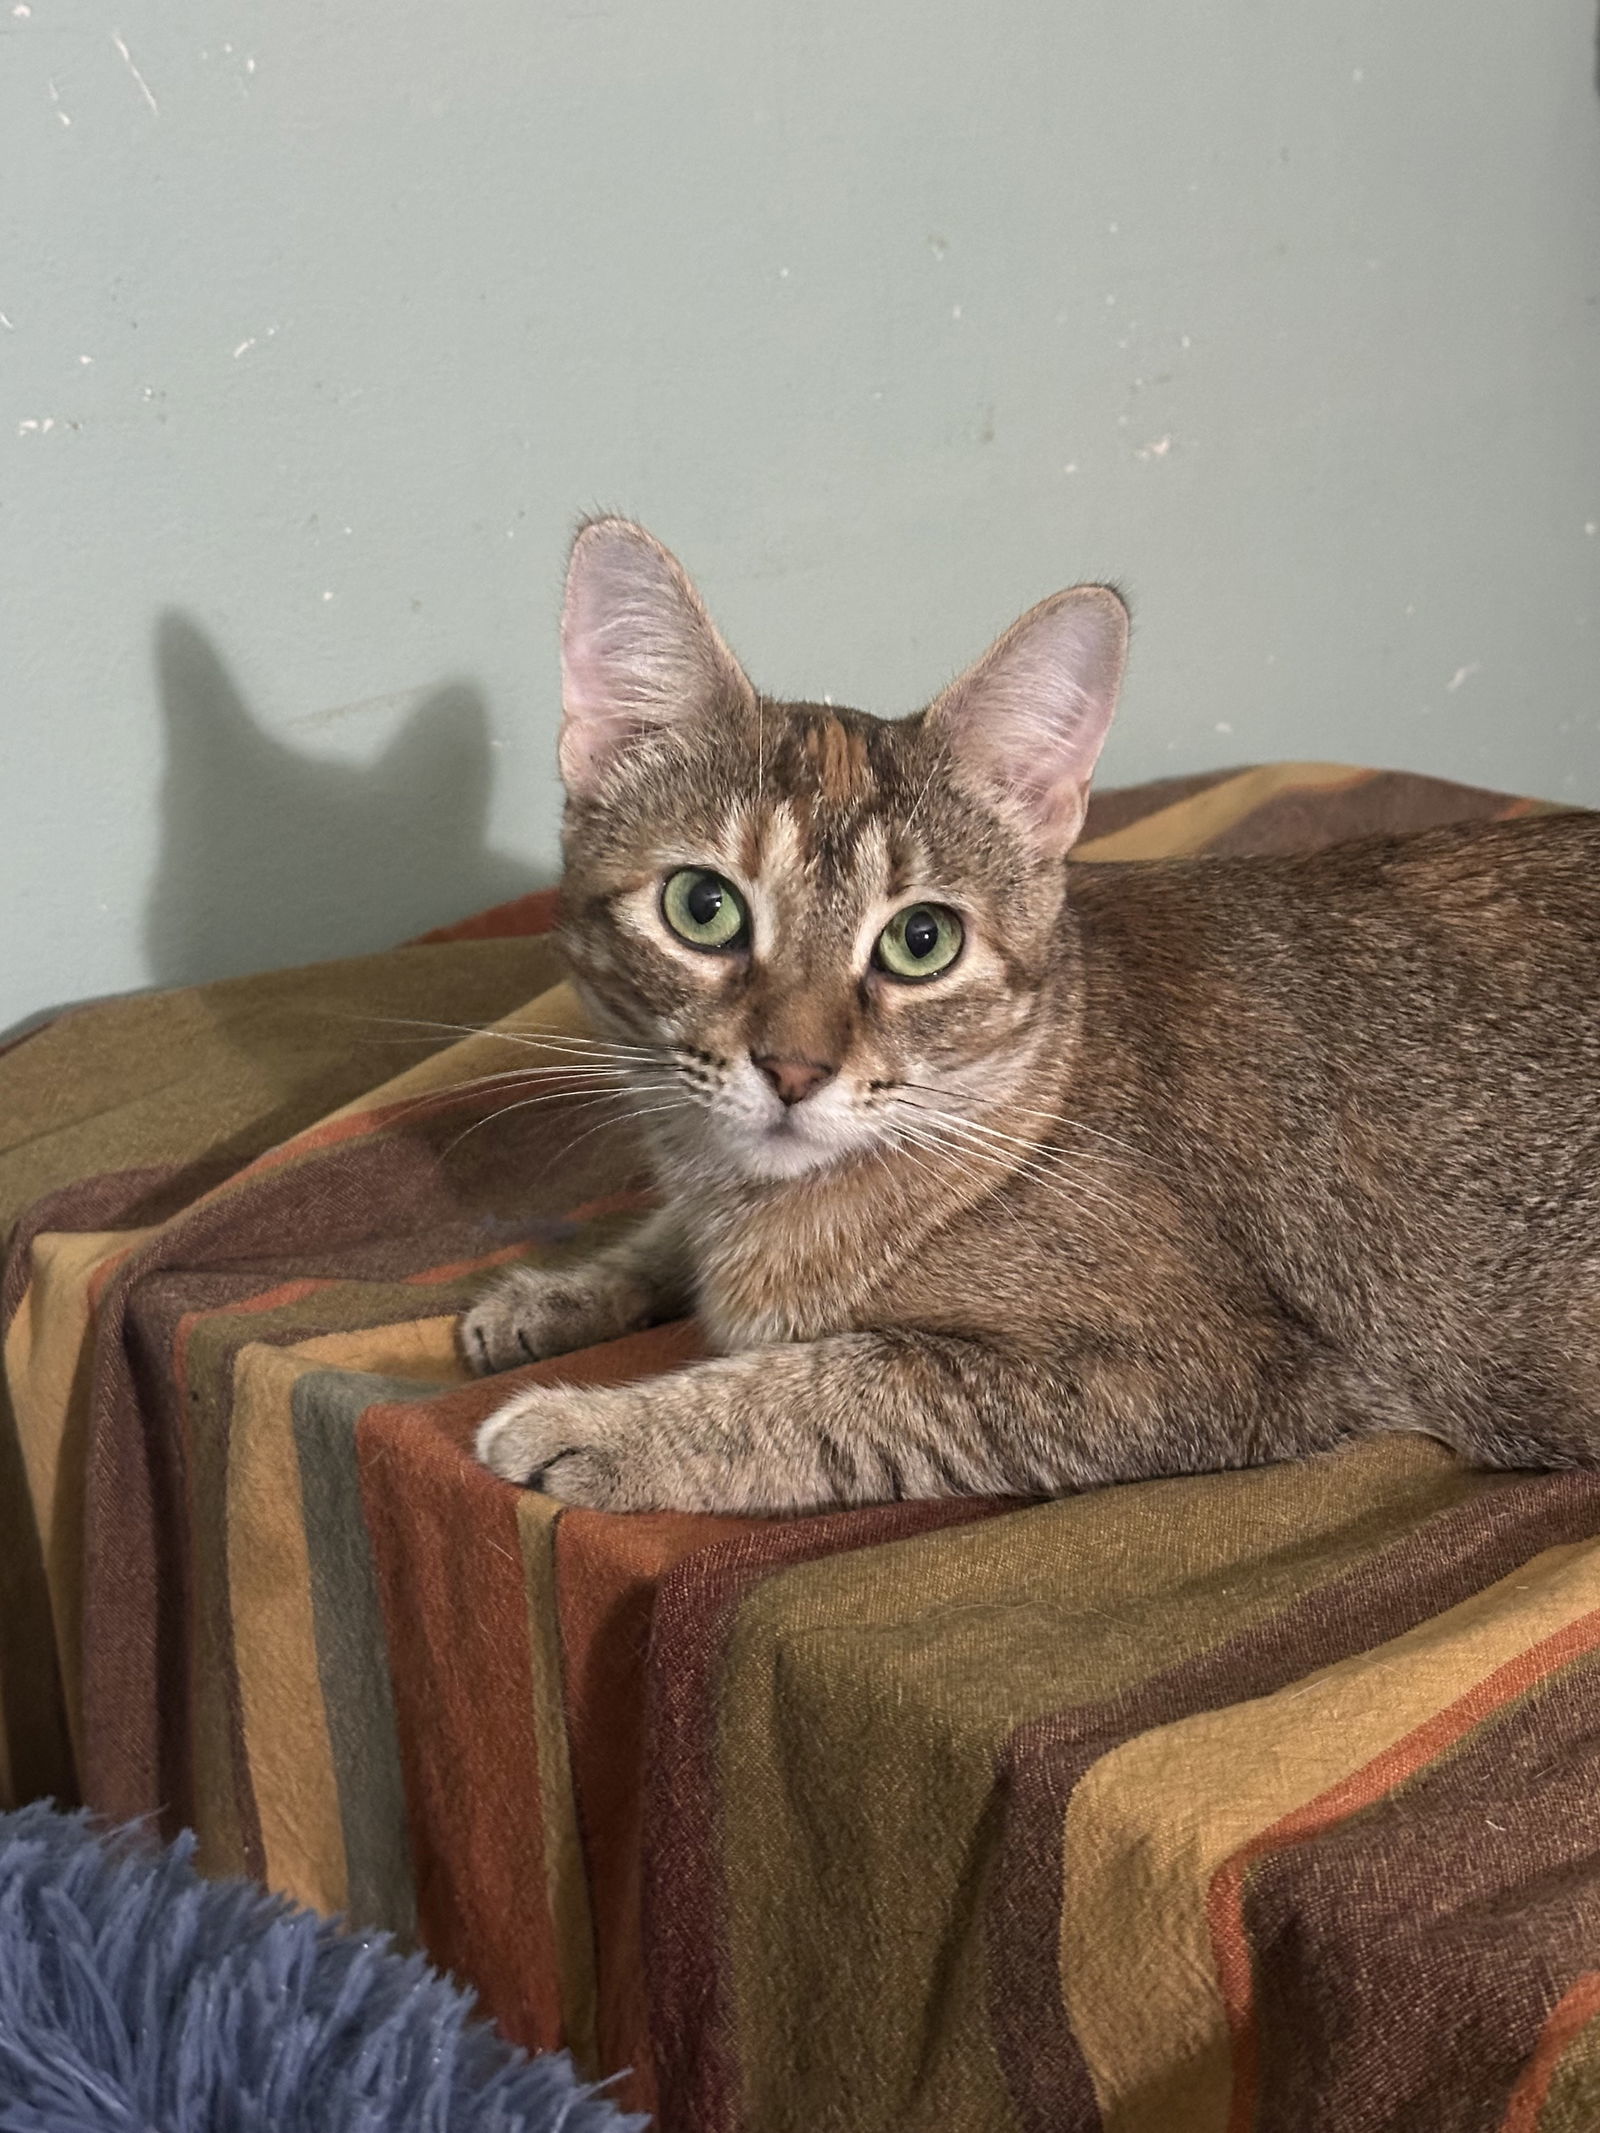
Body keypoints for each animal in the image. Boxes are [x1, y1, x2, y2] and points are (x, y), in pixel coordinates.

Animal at [456, 516, 1600, 1518]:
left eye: (921, 940)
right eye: (704, 907)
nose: (793, 1069)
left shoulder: (1208, 1370)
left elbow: (842, 1385)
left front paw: (600, 1425)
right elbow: (661, 1245)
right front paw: (553, 1294)